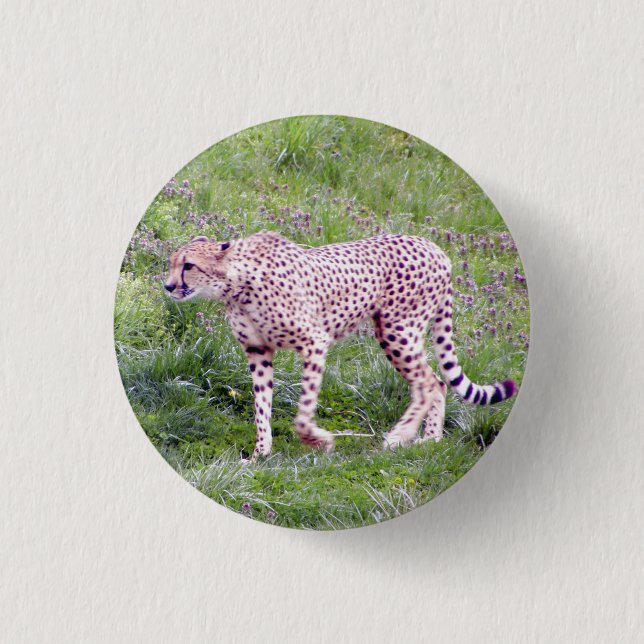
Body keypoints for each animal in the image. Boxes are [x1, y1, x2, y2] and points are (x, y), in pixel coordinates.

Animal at [164, 231, 517, 460]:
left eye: (189, 266)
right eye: (171, 263)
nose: (167, 286)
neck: (237, 282)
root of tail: (434, 247)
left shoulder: (314, 341)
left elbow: (302, 412)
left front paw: (320, 441)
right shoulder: (258, 352)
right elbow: (261, 406)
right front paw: (260, 454)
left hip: (397, 330)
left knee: (429, 383)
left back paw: (400, 437)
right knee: (438, 382)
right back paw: (430, 440)